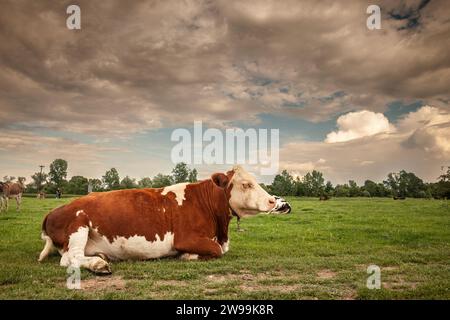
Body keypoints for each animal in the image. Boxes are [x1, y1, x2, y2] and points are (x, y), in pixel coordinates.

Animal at [37, 166, 292, 274]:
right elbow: (216, 250)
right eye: (246, 184)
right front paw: (187, 256)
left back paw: (101, 258)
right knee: (69, 259)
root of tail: (54, 210)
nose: (273, 201)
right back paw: (98, 265)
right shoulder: (186, 238)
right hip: (78, 226)